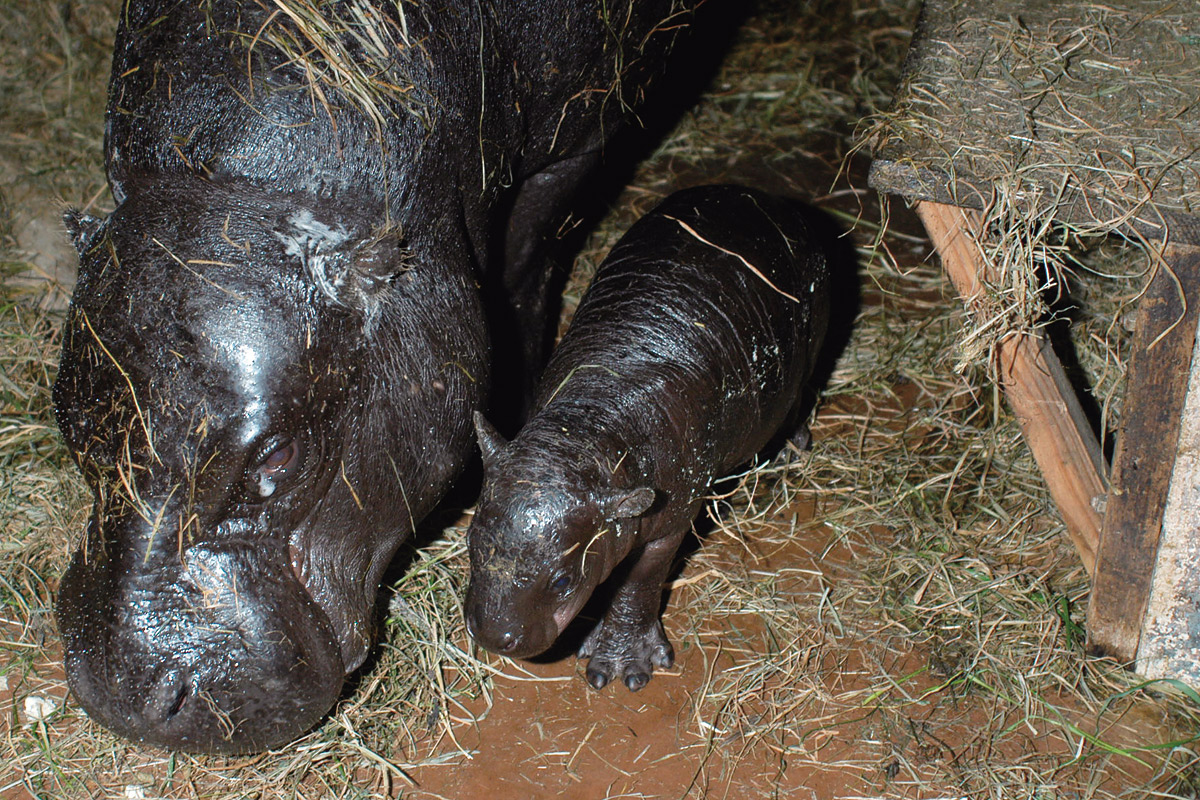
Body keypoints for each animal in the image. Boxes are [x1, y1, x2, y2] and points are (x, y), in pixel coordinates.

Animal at [54, 0, 696, 753]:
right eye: (65, 418)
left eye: (280, 454)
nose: (127, 696)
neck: (241, 190)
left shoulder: (570, 151)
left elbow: (524, 270)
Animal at [463, 184, 830, 690]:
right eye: (469, 542)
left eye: (563, 580)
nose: (494, 637)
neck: (588, 423)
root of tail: (769, 200)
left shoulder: (670, 515)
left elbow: (638, 582)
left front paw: (619, 668)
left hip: (808, 349)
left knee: (798, 398)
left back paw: (791, 454)